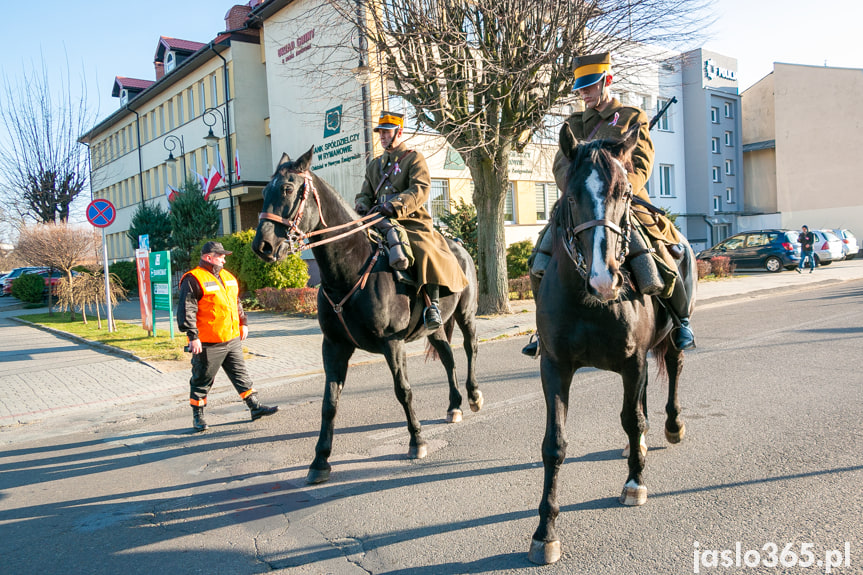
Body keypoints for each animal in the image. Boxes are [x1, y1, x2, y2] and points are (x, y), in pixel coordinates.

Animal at [253, 148, 482, 486]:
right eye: (264, 192)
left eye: (288, 188)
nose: (262, 246)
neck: (350, 271)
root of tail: (460, 247)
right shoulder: (334, 346)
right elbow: (329, 403)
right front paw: (320, 460)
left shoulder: (393, 343)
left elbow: (404, 391)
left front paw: (417, 441)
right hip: (436, 328)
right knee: (448, 357)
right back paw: (454, 406)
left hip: (466, 314)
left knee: (469, 349)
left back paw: (474, 395)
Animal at [528, 125, 696, 564]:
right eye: (570, 196)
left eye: (624, 192)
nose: (605, 279)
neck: (589, 301)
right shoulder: (554, 366)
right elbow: (554, 444)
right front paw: (545, 532)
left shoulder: (632, 361)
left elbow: (630, 418)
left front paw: (635, 483)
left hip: (671, 339)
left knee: (673, 372)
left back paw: (671, 426)